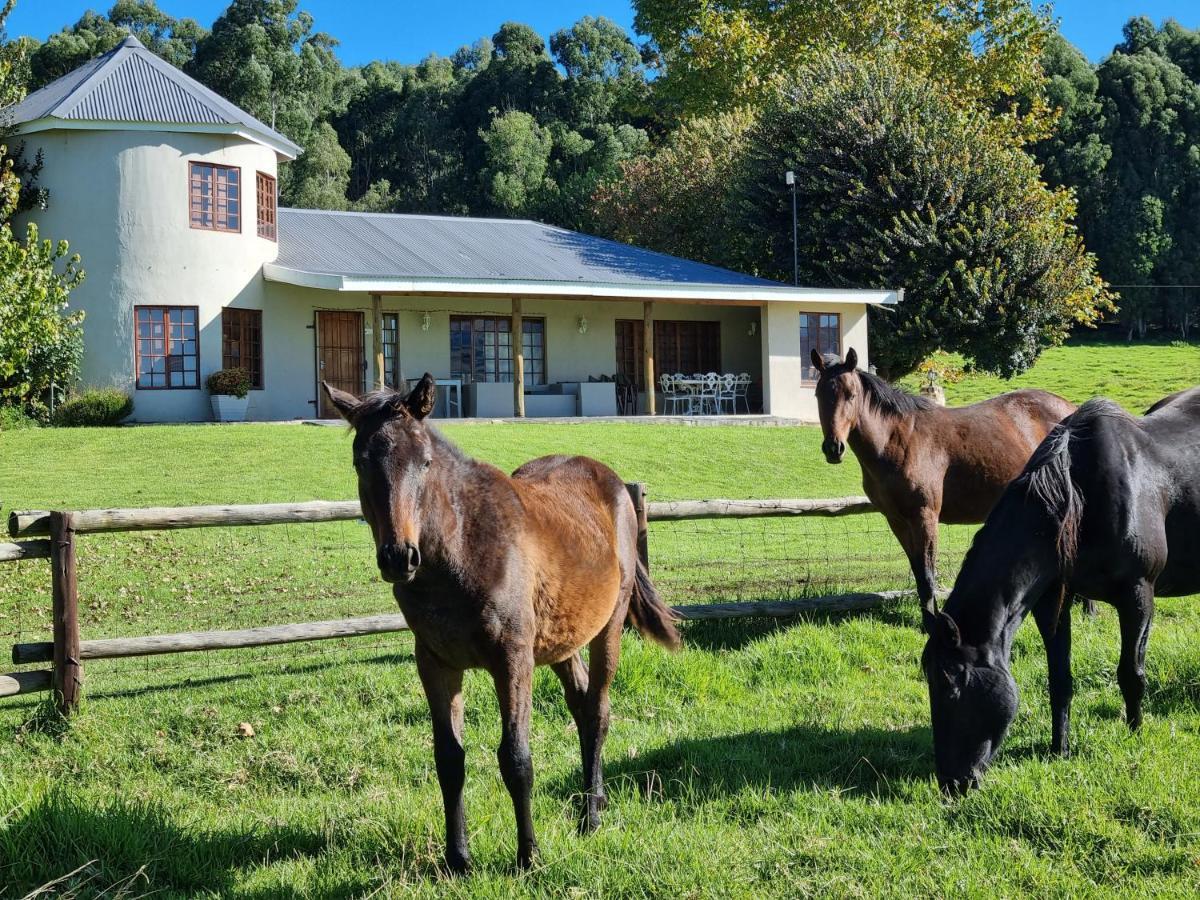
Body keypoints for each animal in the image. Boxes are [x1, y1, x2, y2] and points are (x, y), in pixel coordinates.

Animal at [324, 374, 681, 873]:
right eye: (361, 462)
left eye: (425, 462)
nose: (399, 557)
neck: (463, 549)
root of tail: (611, 482)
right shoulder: (435, 663)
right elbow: (449, 760)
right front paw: (457, 860)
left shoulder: (512, 660)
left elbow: (516, 759)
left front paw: (528, 858)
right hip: (561, 640)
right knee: (580, 704)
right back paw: (594, 801)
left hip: (607, 627)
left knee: (597, 709)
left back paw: (590, 817)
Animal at [806, 350, 1080, 619]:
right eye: (818, 395)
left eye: (851, 395)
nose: (834, 448)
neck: (898, 440)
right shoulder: (897, 521)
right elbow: (918, 573)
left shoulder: (924, 517)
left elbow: (928, 575)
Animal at [916, 388, 1200, 796]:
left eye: (953, 686)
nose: (953, 783)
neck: (1079, 498)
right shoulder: (1054, 603)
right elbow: (1060, 680)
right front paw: (1059, 748)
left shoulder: (1137, 597)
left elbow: (1131, 673)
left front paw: (1135, 734)